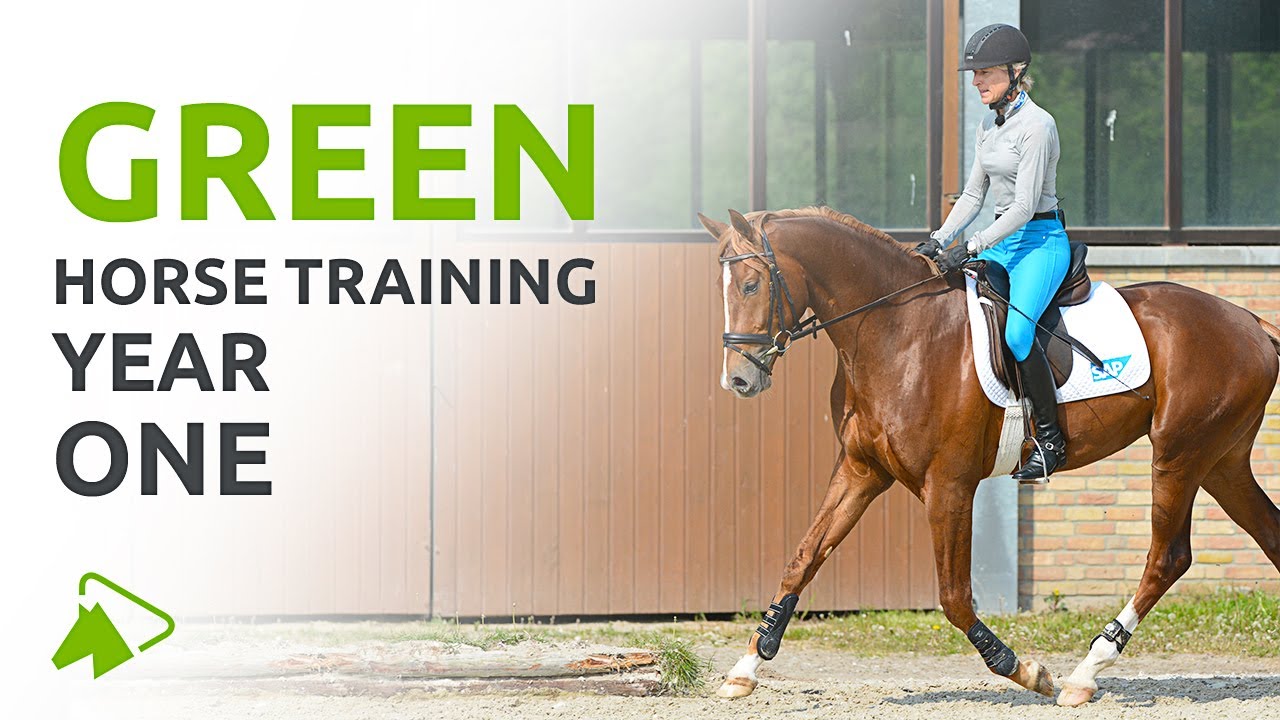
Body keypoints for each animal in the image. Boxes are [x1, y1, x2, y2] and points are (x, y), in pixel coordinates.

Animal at [700, 206, 1280, 707]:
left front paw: (1026, 670)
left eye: (751, 284)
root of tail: (1251, 322)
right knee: (1267, 534)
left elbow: (955, 597)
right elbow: (802, 560)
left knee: (1167, 557)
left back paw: (1084, 674)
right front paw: (745, 668)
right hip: (1221, 462)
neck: (894, 332)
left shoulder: (948, 485)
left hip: (1179, 455)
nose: (738, 379)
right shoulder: (860, 473)